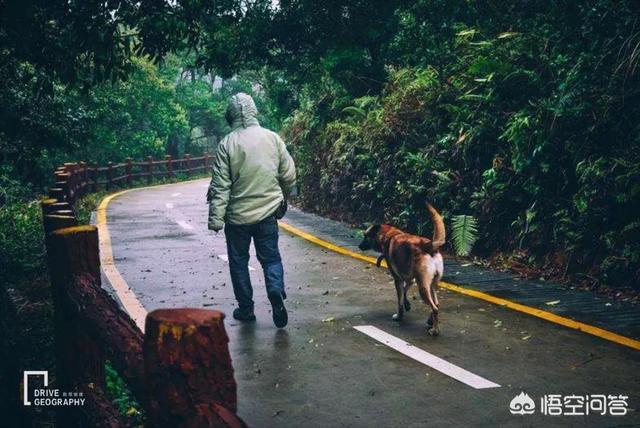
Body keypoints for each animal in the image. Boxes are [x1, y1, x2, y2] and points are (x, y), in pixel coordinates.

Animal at [358, 206, 448, 336]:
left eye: (366, 236)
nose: (359, 246)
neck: (389, 235)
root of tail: (429, 245)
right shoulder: (409, 279)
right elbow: (405, 291)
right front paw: (407, 304)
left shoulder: (397, 279)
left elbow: (399, 301)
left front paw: (399, 316)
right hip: (432, 284)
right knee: (436, 303)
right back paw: (431, 321)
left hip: (423, 287)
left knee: (434, 307)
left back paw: (435, 330)